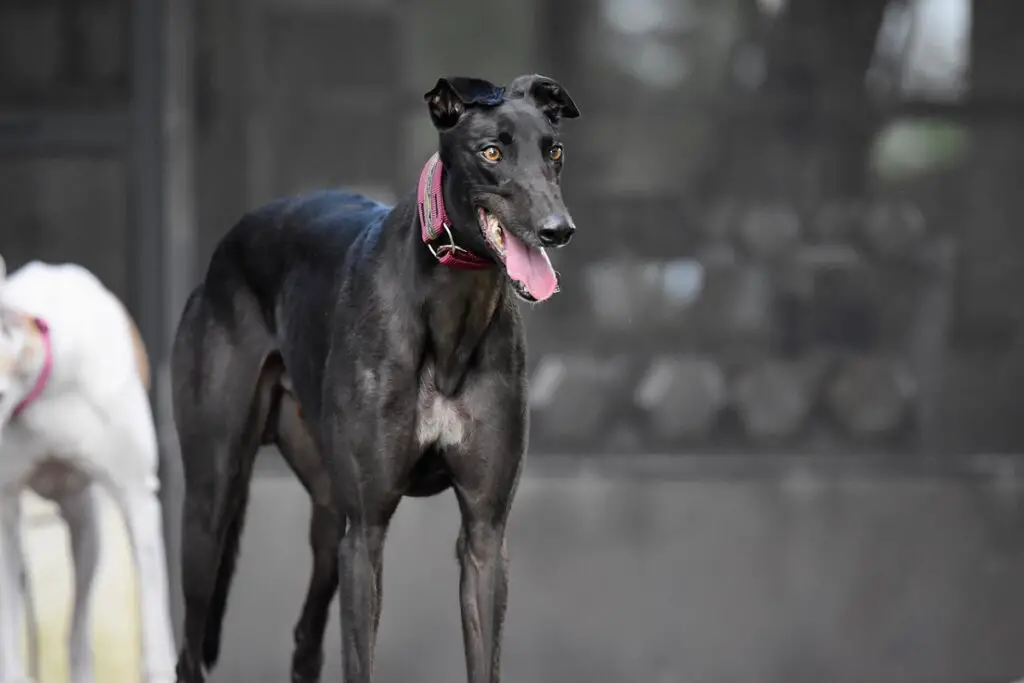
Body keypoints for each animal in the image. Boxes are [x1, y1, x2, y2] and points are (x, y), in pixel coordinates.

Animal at [172, 74, 581, 683]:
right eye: (491, 152)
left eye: (553, 151)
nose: (558, 230)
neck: (451, 312)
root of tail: (226, 247)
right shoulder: (366, 533)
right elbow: (360, 659)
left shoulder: (485, 533)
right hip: (213, 497)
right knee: (190, 647)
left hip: (326, 510)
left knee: (306, 638)